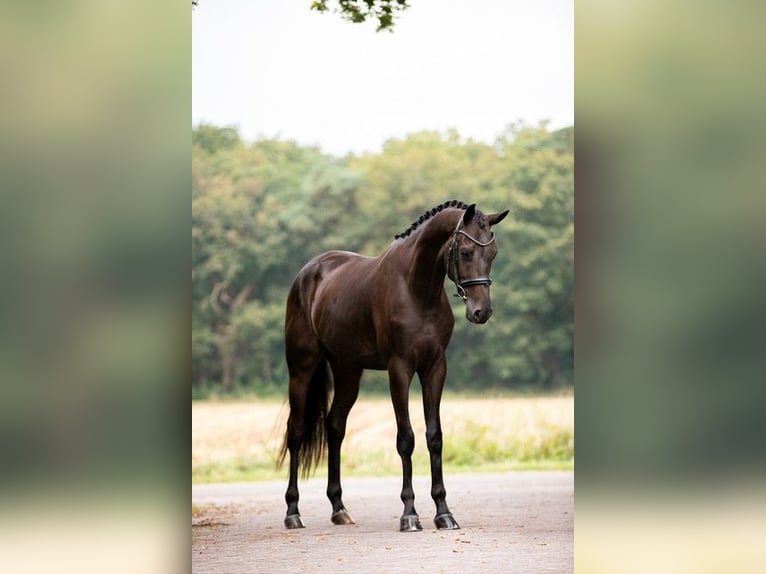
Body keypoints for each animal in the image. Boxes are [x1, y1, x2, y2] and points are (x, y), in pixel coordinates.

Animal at [280, 200, 508, 532]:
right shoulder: (399, 369)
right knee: (296, 432)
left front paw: (444, 513)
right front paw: (410, 514)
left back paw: (339, 508)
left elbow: (434, 436)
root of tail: (308, 273)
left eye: (493, 253)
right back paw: (293, 512)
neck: (416, 290)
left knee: (335, 427)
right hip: (301, 369)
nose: (482, 312)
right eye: (465, 251)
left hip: (348, 372)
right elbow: (406, 439)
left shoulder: (434, 368)